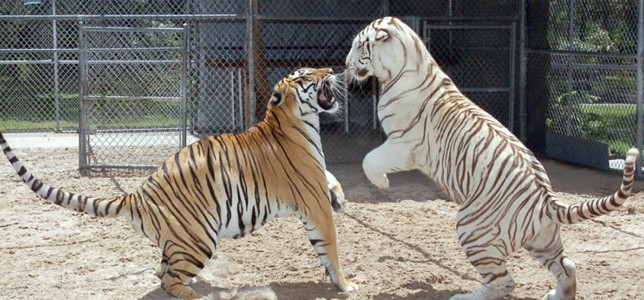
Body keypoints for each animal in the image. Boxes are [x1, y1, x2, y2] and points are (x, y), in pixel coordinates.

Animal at [344, 17, 636, 300]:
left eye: (358, 46)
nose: (345, 64)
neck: (409, 60)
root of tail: (546, 200)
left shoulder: (403, 145)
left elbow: (369, 159)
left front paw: (382, 184)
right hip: (543, 241)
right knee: (568, 267)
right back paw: (557, 295)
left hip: (472, 228)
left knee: (504, 282)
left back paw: (465, 297)